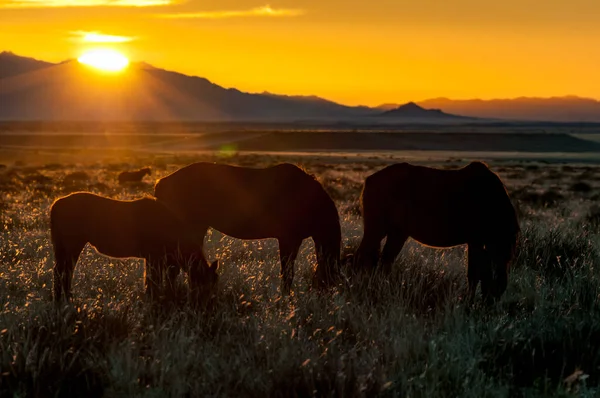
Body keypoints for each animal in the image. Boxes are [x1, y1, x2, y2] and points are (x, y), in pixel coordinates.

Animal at [49, 192, 218, 302]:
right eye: (206, 283)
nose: (208, 304)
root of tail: (57, 204)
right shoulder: (154, 258)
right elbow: (152, 280)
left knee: (62, 271)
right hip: (72, 246)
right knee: (63, 271)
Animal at [356, 162, 520, 302]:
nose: (490, 303)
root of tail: (369, 180)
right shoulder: (476, 241)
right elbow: (473, 274)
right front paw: (469, 302)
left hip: (397, 233)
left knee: (384, 260)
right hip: (376, 230)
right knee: (363, 256)